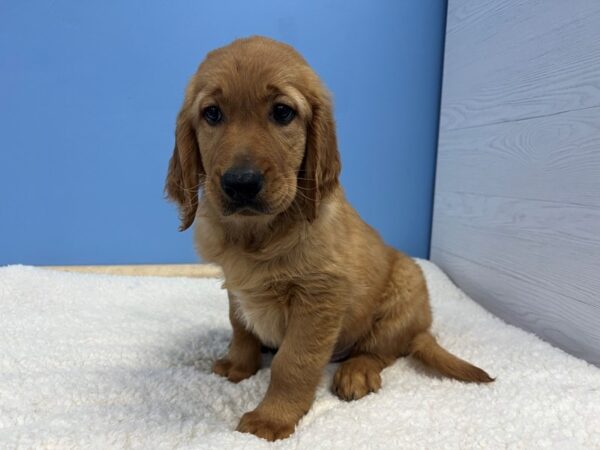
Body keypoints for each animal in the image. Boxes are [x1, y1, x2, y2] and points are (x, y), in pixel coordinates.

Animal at [165, 37, 492, 442]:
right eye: (211, 114)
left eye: (282, 112)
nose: (241, 183)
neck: (258, 234)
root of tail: (422, 329)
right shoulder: (236, 286)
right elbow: (240, 327)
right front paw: (239, 365)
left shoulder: (320, 297)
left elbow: (292, 362)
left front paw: (272, 418)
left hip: (405, 284)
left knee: (383, 350)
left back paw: (357, 371)